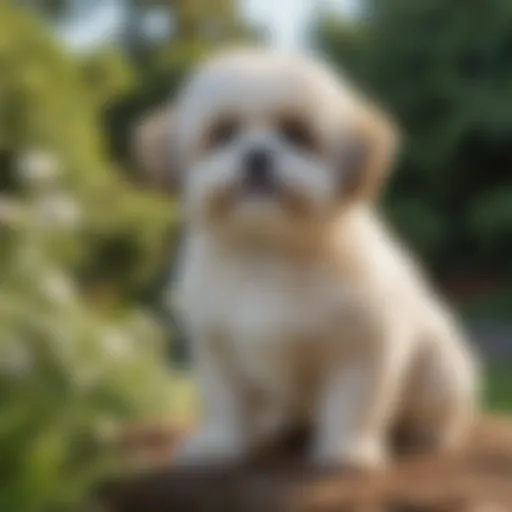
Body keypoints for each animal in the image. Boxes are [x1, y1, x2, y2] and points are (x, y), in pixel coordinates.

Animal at [134, 49, 478, 472]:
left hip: (439, 370)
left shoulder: (363, 345)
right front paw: (219, 446)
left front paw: (347, 450)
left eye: (297, 133)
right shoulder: (218, 347)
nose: (257, 155)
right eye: (223, 133)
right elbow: (223, 402)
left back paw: (424, 434)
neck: (268, 252)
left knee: (436, 411)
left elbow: (353, 401)